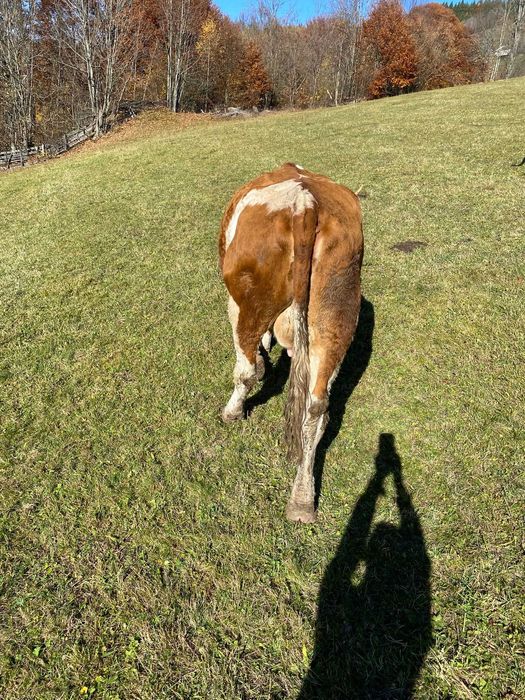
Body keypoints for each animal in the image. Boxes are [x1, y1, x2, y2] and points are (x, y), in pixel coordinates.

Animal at [218, 163, 364, 523]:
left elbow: (253, 365)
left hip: (249, 302)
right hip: (335, 315)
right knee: (316, 407)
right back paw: (302, 499)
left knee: (245, 369)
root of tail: (304, 204)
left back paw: (232, 411)